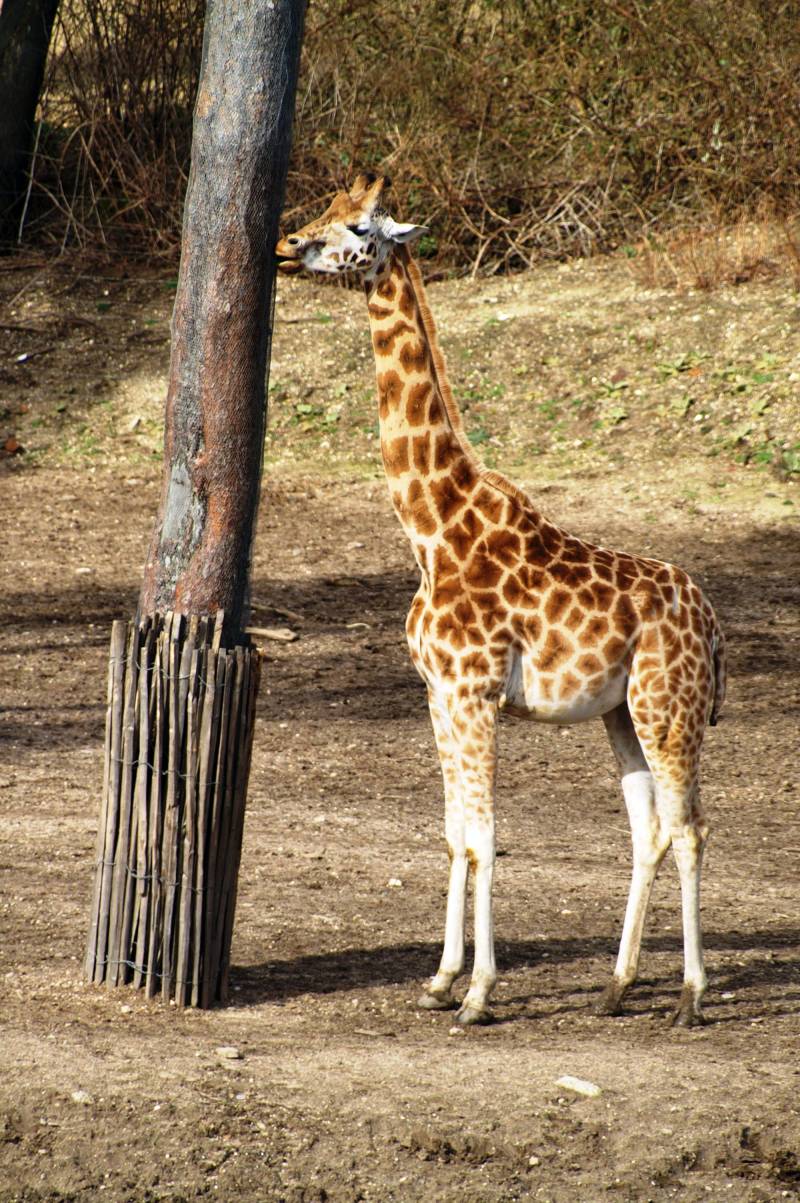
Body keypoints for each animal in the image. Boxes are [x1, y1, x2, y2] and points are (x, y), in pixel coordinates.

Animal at [276, 174, 727, 1028]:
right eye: (322, 211)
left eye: (358, 227)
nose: (286, 245)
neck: (432, 528)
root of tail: (713, 625)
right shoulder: (437, 693)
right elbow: (456, 832)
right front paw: (441, 977)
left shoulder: (475, 691)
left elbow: (486, 835)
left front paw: (480, 992)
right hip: (622, 712)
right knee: (648, 827)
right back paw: (616, 985)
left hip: (668, 706)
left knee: (689, 827)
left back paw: (689, 994)